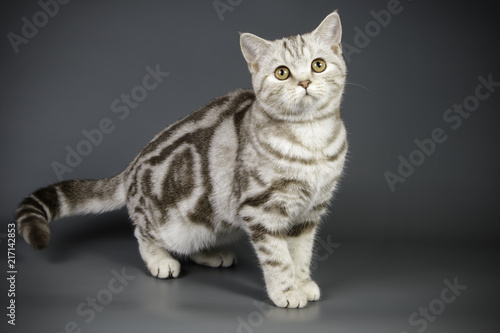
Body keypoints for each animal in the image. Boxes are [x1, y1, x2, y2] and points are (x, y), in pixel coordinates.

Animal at [17, 10, 350, 308]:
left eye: (318, 65)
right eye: (282, 72)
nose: (304, 82)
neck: (311, 139)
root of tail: (132, 166)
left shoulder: (309, 213)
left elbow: (301, 254)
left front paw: (303, 283)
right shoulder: (261, 211)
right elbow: (278, 258)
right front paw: (286, 291)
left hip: (209, 218)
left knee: (195, 238)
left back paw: (212, 254)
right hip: (170, 223)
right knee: (142, 233)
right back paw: (160, 261)